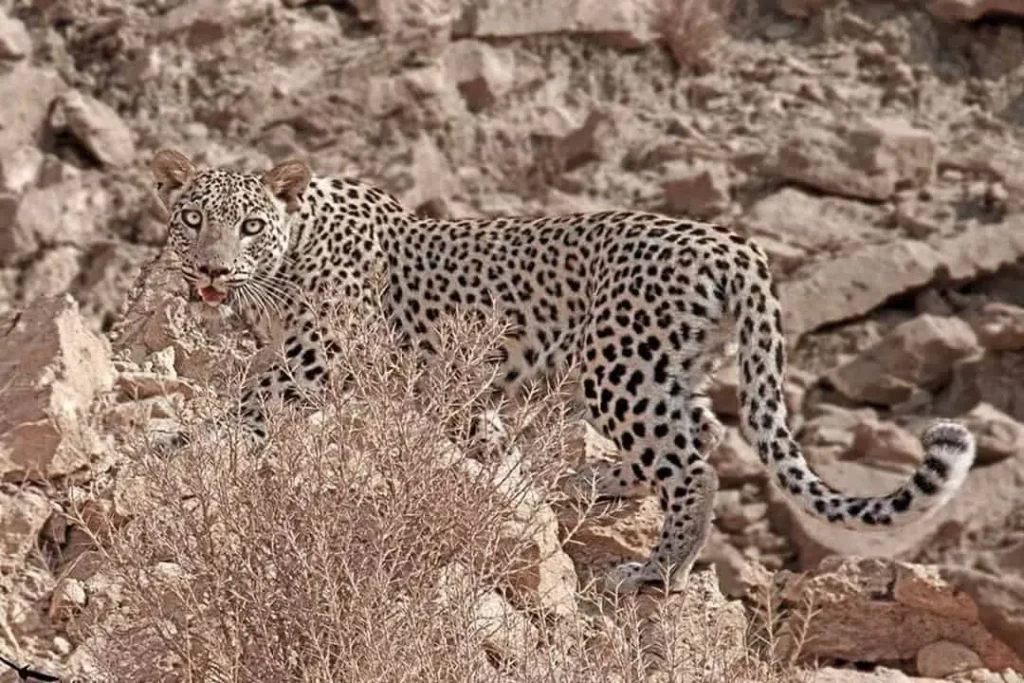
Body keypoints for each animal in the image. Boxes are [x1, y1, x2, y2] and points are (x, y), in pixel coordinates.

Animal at [149, 148, 974, 593]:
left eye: (251, 225)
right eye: (192, 219)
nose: (211, 270)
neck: (286, 259)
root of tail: (732, 242)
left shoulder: (316, 354)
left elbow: (250, 408)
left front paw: (184, 443)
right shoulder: (450, 386)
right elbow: (478, 436)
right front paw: (502, 480)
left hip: (622, 365)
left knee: (692, 463)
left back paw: (654, 569)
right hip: (667, 366)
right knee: (697, 432)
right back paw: (581, 481)